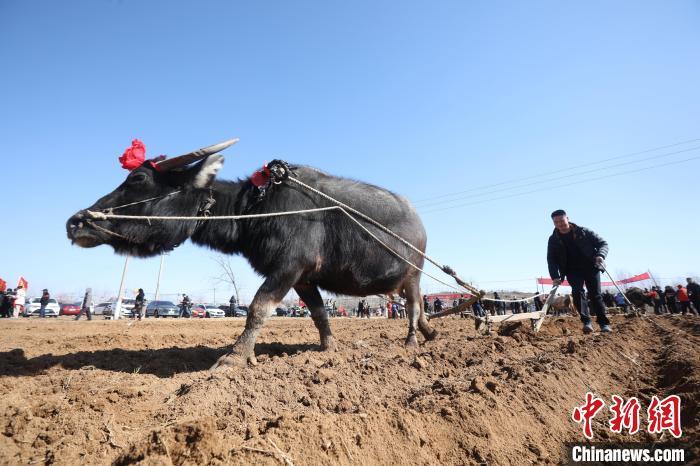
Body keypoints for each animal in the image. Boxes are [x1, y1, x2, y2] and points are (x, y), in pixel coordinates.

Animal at [67, 141, 438, 368]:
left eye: (138, 178)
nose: (76, 221)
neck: (257, 207)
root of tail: (419, 223)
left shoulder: (288, 268)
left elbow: (258, 308)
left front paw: (234, 357)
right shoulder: (303, 279)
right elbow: (319, 314)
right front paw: (328, 348)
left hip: (413, 275)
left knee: (412, 307)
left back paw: (412, 341)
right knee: (418, 308)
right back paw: (429, 332)